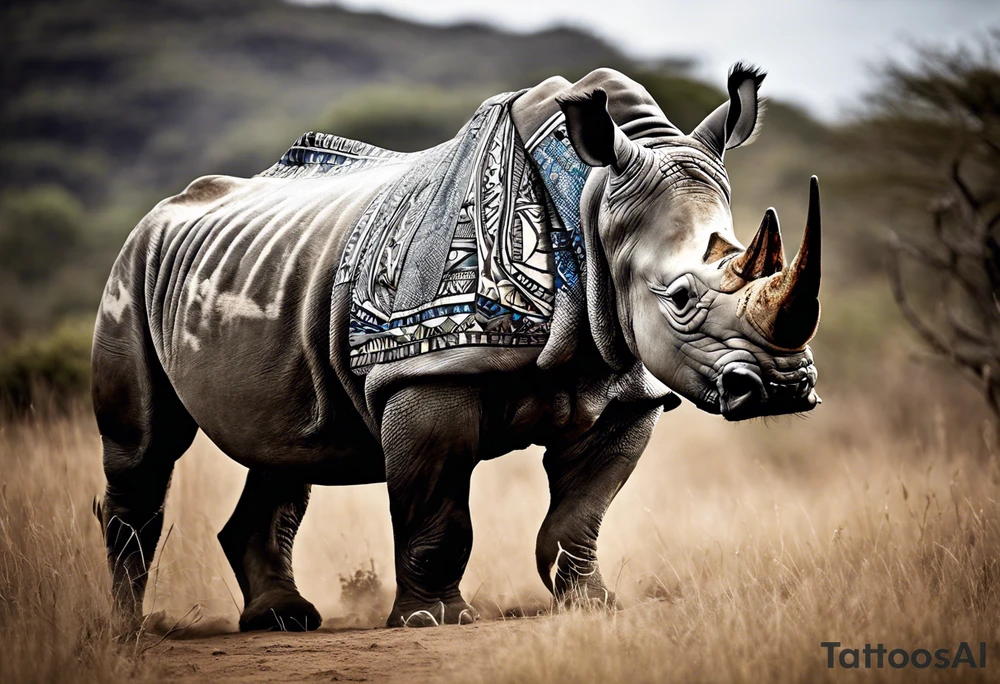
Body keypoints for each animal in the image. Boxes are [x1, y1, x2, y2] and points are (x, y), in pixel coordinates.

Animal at [93, 64, 821, 632]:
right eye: (679, 299)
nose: (783, 387)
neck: (592, 206)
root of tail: (160, 213)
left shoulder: (624, 382)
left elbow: (580, 516)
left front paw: (594, 606)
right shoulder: (423, 373)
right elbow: (438, 508)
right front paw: (431, 621)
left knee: (284, 444)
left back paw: (281, 620)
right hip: (130, 267)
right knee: (146, 447)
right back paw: (131, 631)